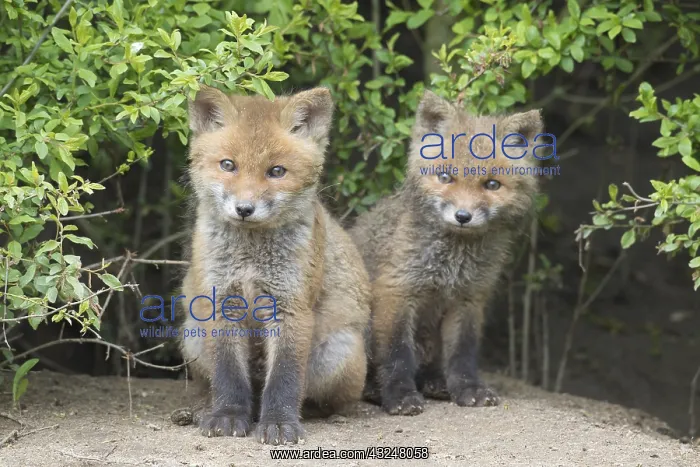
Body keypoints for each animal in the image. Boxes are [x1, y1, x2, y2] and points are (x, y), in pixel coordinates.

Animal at [177, 85, 371, 445]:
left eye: (276, 171)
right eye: (228, 165)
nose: (244, 209)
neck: (251, 261)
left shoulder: (292, 306)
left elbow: (284, 378)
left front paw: (280, 423)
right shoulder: (222, 302)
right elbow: (227, 374)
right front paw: (227, 415)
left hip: (338, 353)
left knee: (323, 397)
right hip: (192, 335)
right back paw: (204, 408)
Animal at [350, 90, 544, 415]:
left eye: (492, 184)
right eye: (445, 177)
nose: (463, 216)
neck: (452, 263)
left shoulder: (469, 299)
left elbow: (462, 356)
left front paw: (468, 390)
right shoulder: (396, 291)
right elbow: (396, 355)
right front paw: (400, 396)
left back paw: (436, 383)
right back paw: (376, 390)